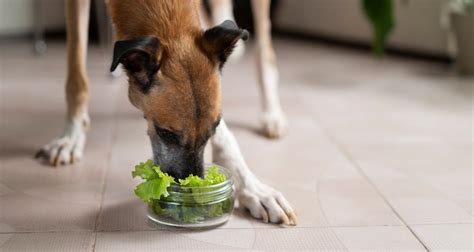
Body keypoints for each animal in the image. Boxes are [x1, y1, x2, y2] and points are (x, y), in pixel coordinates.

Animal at [37, 0, 294, 224]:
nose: (190, 193)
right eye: (166, 134)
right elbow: (76, 77)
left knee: (265, 54)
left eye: (213, 130)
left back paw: (272, 115)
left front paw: (251, 187)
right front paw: (71, 136)